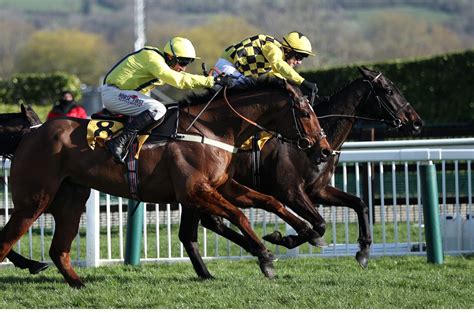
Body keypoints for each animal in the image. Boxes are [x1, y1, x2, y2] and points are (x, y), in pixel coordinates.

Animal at [0, 80, 332, 288]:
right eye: (305, 112)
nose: (325, 150)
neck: (210, 128)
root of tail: (30, 133)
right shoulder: (195, 190)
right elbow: (238, 215)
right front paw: (265, 255)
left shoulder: (223, 185)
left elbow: (271, 201)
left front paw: (304, 233)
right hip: (33, 200)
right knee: (7, 241)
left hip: (71, 198)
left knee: (59, 250)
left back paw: (78, 283)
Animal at [196, 67, 422, 266]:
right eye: (389, 90)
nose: (416, 122)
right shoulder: (289, 192)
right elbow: (320, 224)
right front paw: (283, 238)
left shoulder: (317, 190)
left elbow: (359, 204)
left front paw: (364, 250)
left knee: (212, 222)